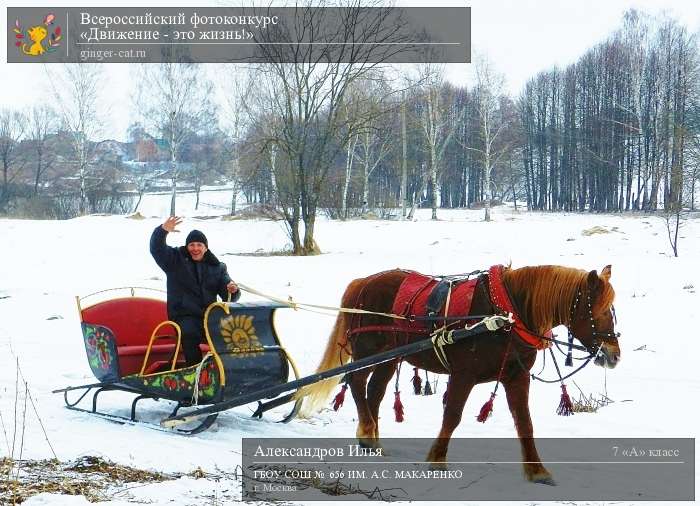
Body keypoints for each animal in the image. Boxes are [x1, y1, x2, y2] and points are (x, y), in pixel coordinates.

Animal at [300, 262, 616, 484]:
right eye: (599, 311)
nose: (614, 355)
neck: (505, 315)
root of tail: (363, 282)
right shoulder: (464, 374)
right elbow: (452, 416)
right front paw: (437, 458)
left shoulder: (516, 377)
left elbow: (524, 422)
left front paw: (537, 470)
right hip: (367, 350)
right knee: (356, 382)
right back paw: (367, 432)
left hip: (390, 357)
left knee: (374, 391)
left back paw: (372, 439)